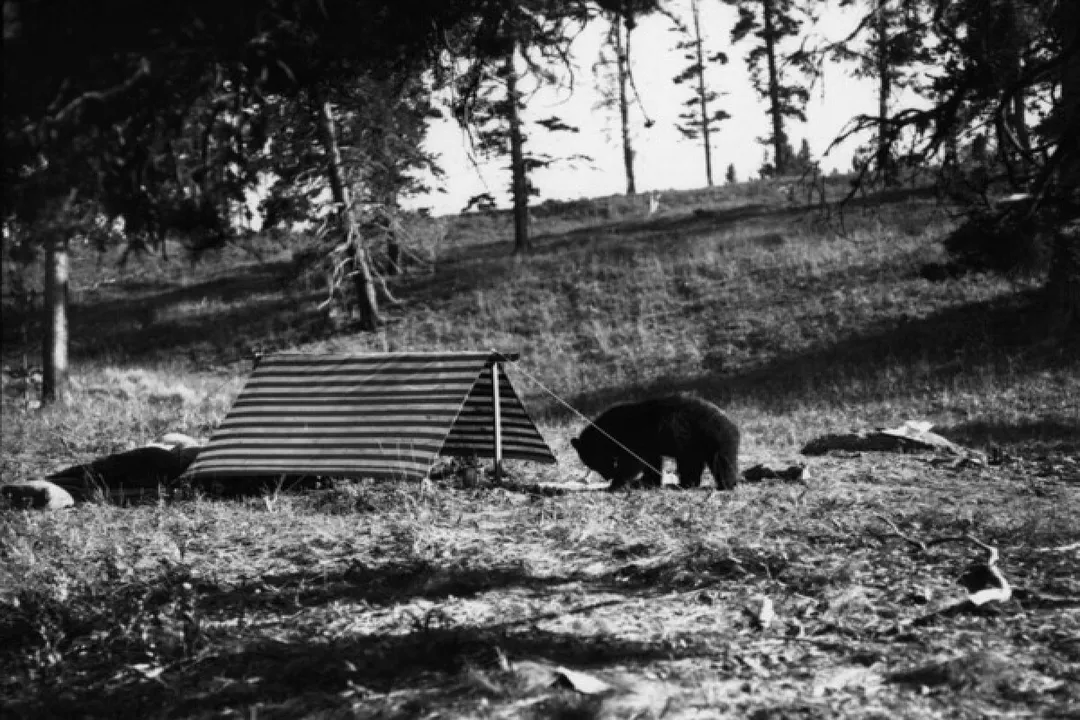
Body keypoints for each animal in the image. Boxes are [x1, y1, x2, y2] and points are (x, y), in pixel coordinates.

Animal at [571, 394, 739, 491]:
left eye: (596, 462)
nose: (607, 477)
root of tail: (731, 423)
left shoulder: (635, 437)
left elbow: (633, 462)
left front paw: (617, 484)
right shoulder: (650, 445)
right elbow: (651, 462)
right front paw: (647, 482)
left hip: (711, 439)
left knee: (721, 463)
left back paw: (725, 485)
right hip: (696, 444)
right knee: (693, 464)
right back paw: (686, 484)